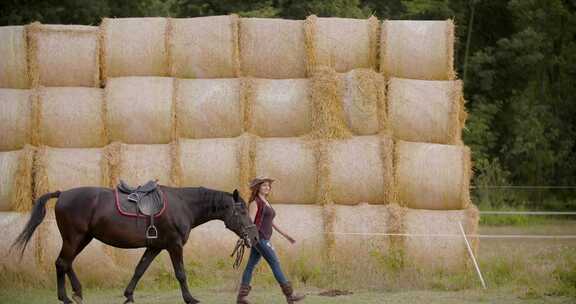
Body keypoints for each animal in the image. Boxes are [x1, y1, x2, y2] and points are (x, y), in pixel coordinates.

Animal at [10, 184, 258, 302]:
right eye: (242, 211)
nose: (255, 237)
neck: (183, 205)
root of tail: (62, 194)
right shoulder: (174, 245)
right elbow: (181, 273)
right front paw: (190, 299)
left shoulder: (155, 246)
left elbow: (140, 269)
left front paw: (128, 294)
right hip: (75, 238)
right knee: (62, 263)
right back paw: (66, 298)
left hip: (82, 238)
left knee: (66, 263)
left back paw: (77, 293)